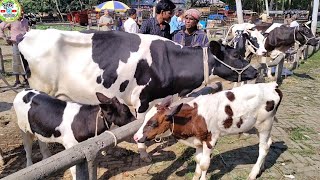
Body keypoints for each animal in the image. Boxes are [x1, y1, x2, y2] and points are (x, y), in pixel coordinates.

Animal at [17, 29, 258, 162]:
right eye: (237, 55)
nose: (256, 71)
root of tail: (28, 34)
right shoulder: (141, 99)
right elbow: (140, 124)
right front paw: (143, 152)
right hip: (41, 90)